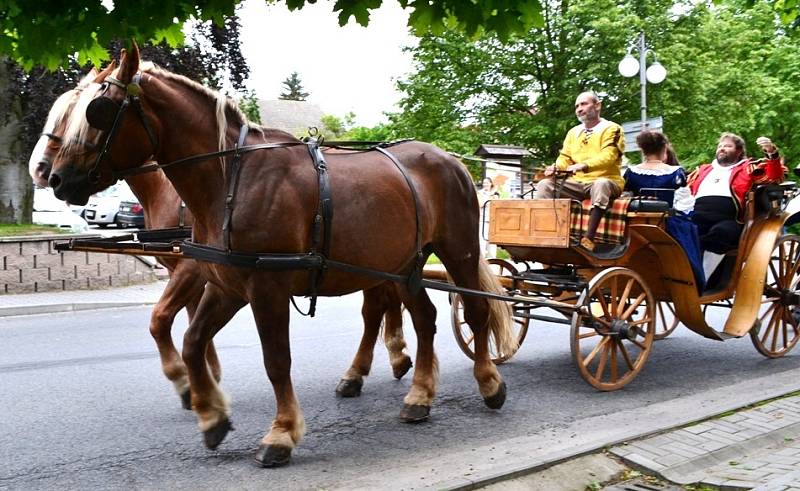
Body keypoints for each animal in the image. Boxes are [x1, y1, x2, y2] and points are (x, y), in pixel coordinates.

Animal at [30, 72, 412, 408]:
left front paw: (190, 382)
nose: (47, 173)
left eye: (85, 114)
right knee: (381, 301)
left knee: (379, 304)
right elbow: (190, 318)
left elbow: (161, 318)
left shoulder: (190, 268)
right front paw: (205, 380)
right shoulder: (197, 268)